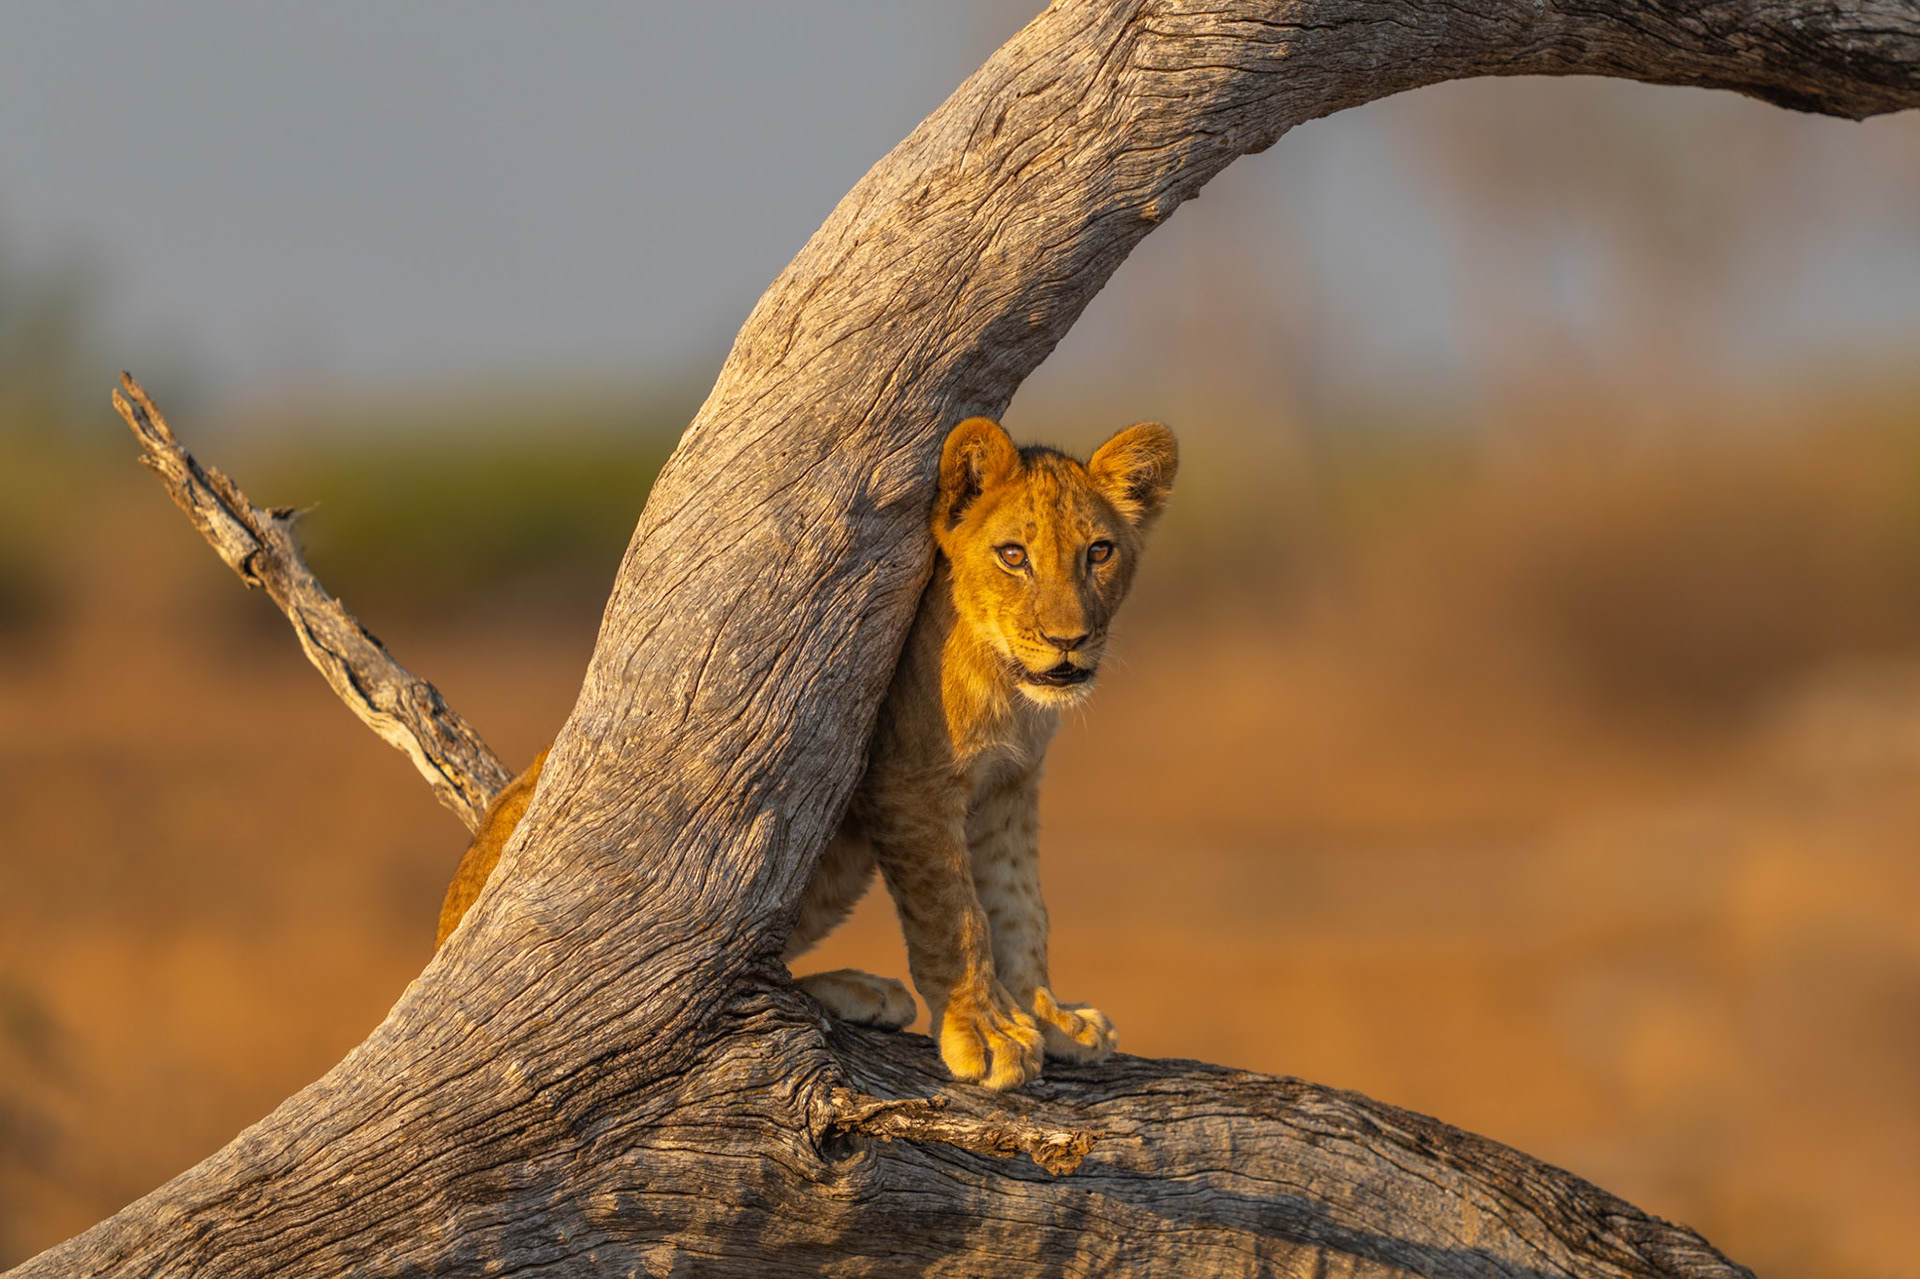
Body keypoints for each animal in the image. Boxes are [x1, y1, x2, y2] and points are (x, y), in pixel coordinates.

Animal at [438, 415, 1177, 1090]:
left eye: (1099, 552)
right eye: (1014, 555)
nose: (1068, 641)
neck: (1006, 685)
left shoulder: (1010, 789)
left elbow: (1020, 907)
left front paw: (1045, 1014)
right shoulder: (907, 781)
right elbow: (956, 915)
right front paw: (984, 1031)